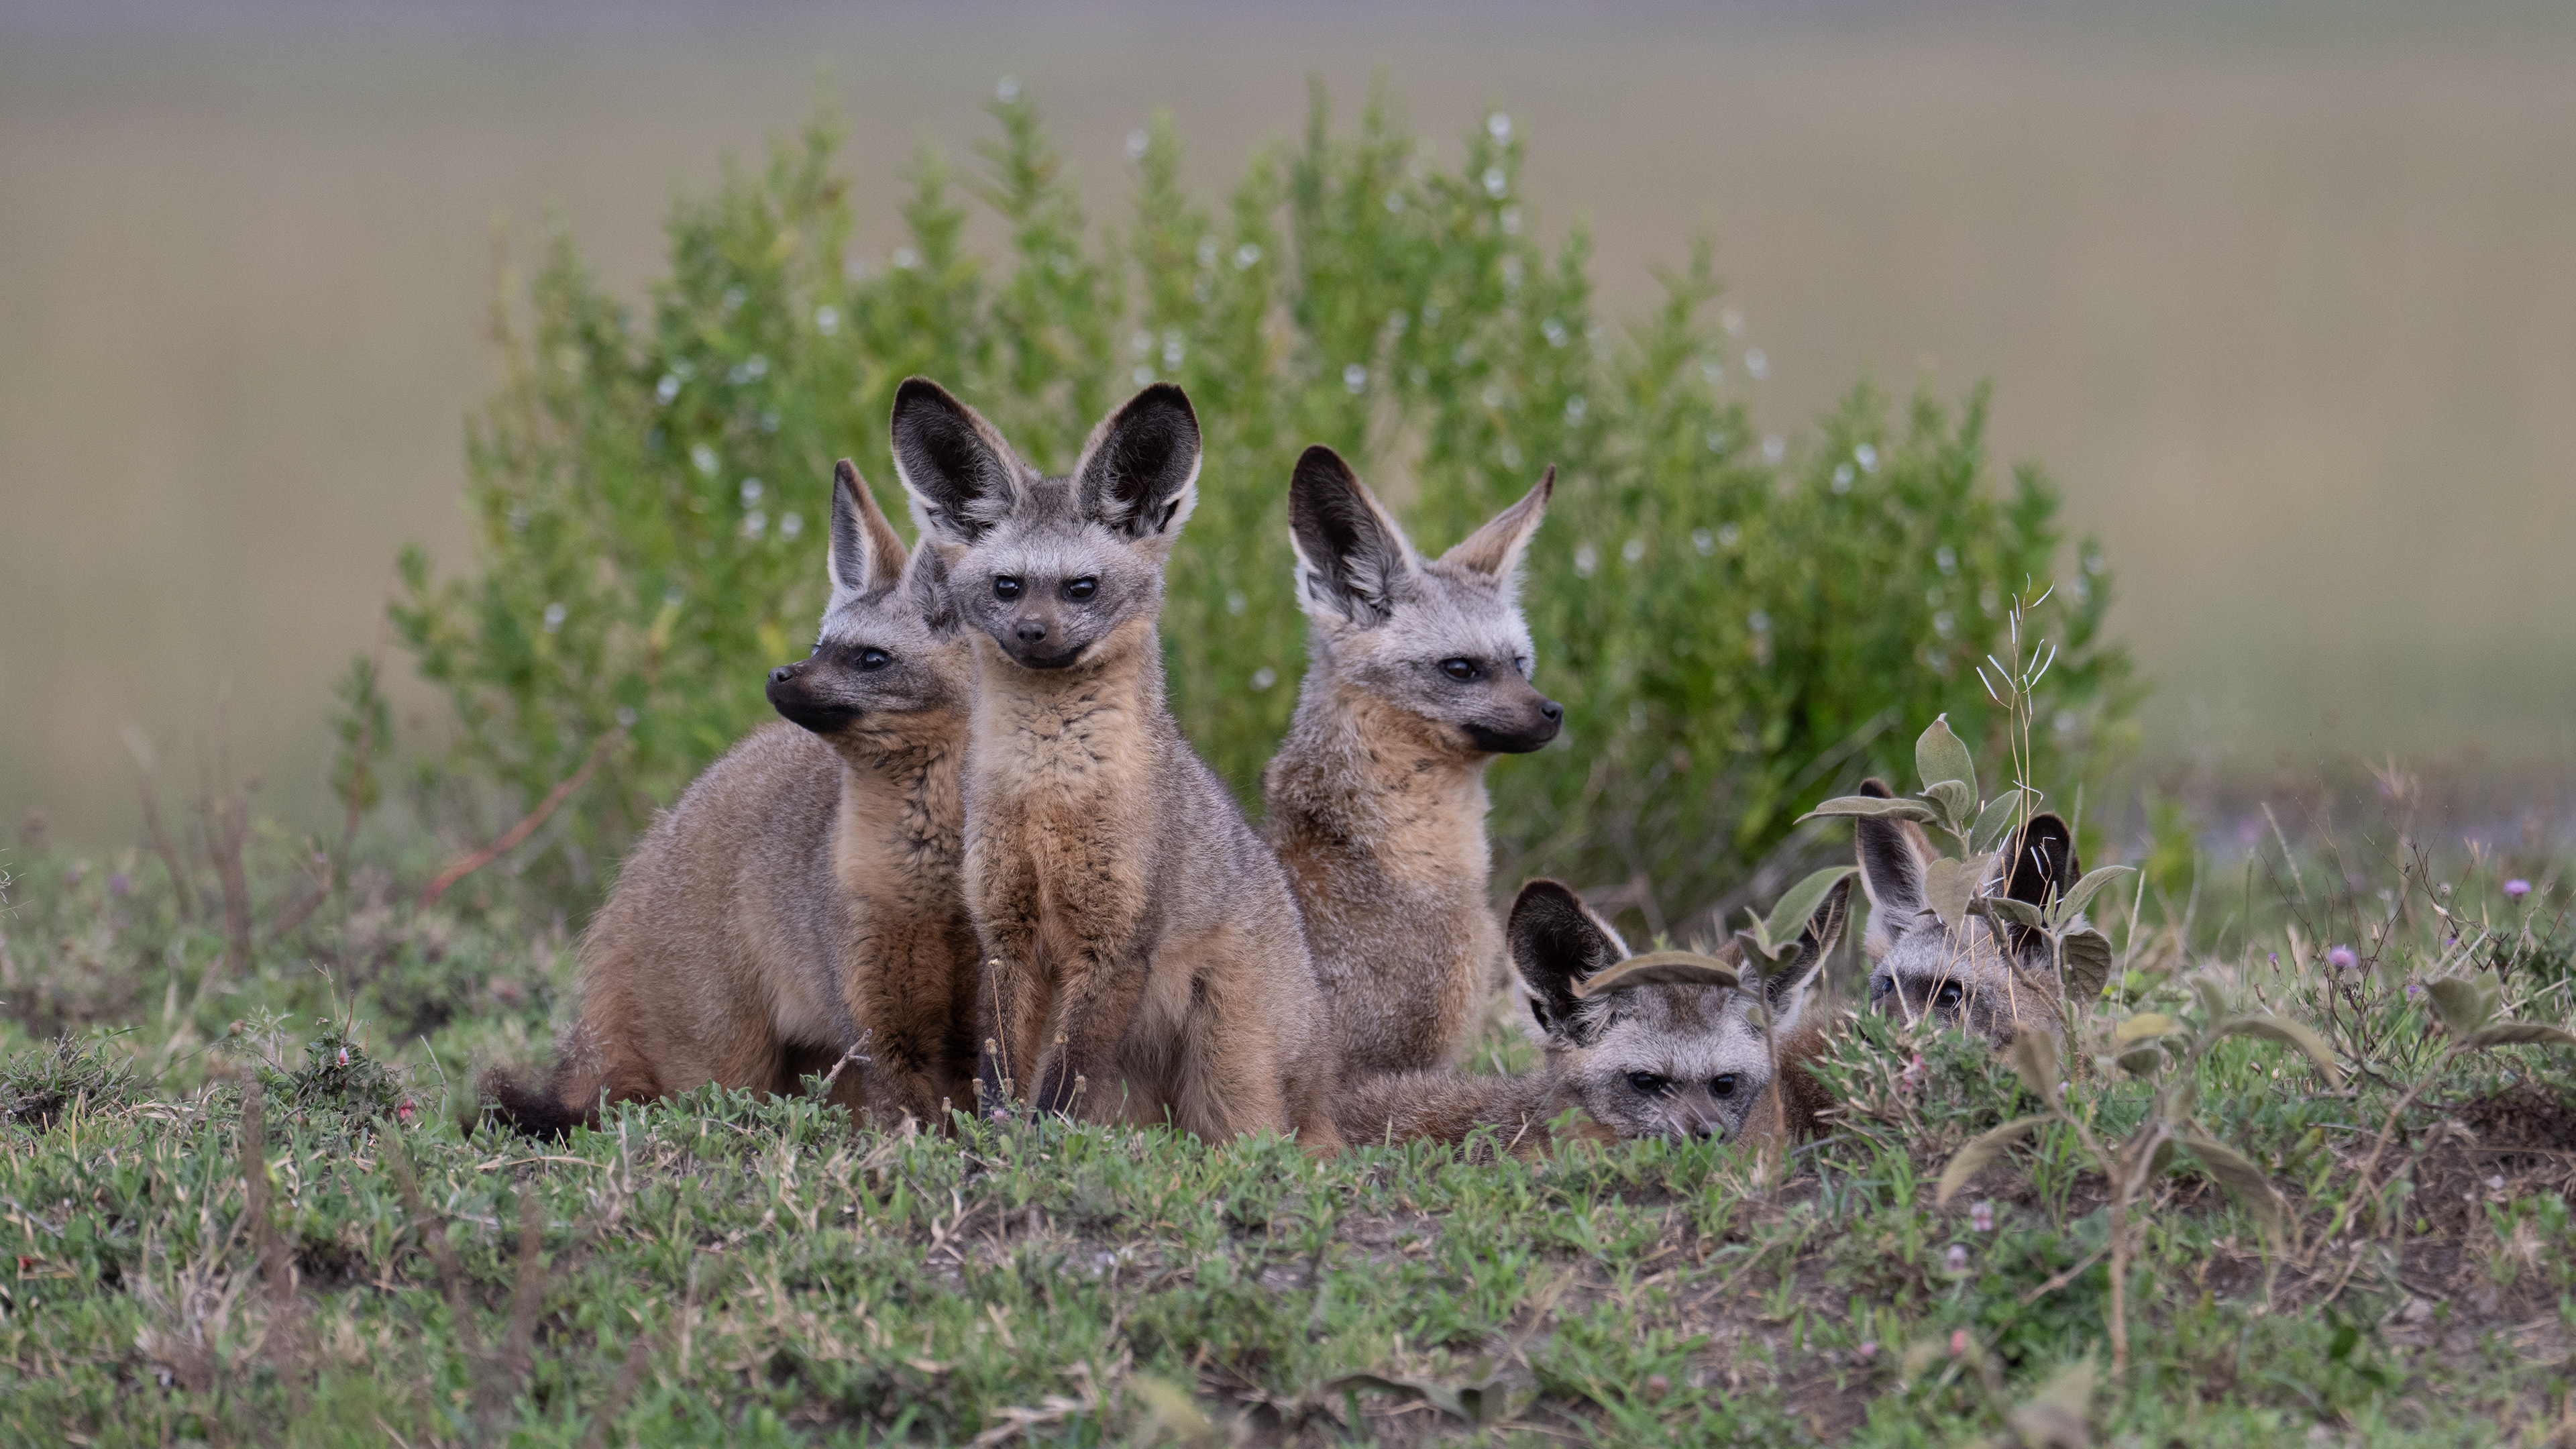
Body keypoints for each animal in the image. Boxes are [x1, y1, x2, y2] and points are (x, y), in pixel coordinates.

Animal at [480, 459, 980, 1135]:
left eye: (870, 659)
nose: (777, 676)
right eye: (819, 645)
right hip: (732, 1065)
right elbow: (915, 1125)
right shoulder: (878, 1026)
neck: (930, 879)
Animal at [889, 377, 1343, 1151]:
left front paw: (1035, 1151)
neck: (1048, 797)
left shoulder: (1118, 942)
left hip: (1229, 1078)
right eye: (1007, 586)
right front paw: (996, 1147)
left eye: (1082, 587)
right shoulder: (1004, 932)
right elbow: (1000, 1076)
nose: (1032, 634)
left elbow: (1061, 1086)